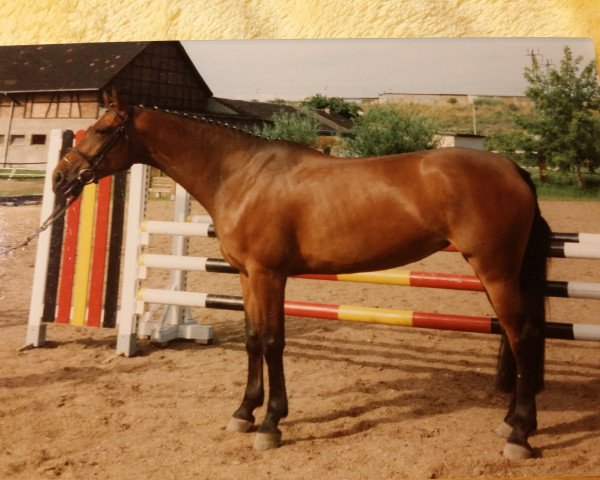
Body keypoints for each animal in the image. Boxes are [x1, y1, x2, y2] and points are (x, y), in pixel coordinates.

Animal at [54, 92, 552, 460]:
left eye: (103, 129)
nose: (60, 177)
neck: (240, 174)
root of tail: (513, 168)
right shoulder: (246, 277)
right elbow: (254, 339)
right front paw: (244, 412)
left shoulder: (270, 275)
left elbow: (274, 341)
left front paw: (271, 424)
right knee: (520, 338)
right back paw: (511, 422)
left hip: (495, 271)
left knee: (523, 337)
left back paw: (519, 435)